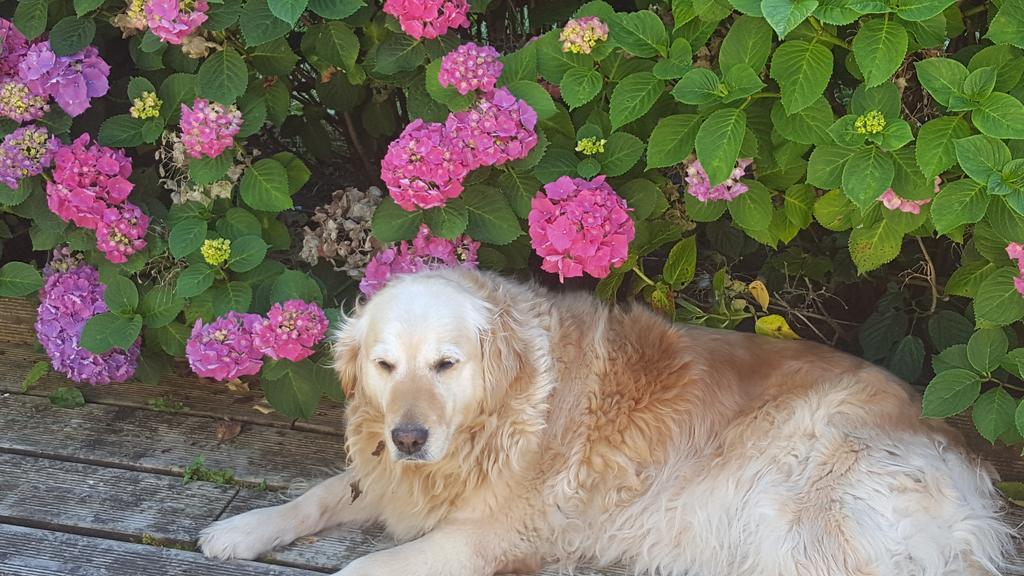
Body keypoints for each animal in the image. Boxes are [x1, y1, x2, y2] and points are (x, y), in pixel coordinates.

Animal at [199, 266, 1015, 569]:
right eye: (384, 365)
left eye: (447, 364)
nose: (408, 436)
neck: (497, 422)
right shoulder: (391, 476)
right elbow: (317, 496)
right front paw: (242, 529)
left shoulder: (485, 535)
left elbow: (362, 565)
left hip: (796, 509)